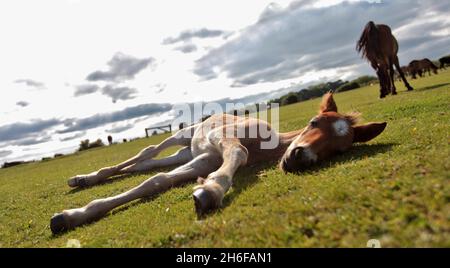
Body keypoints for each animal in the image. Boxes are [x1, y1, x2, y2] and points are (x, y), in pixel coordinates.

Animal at [49, 93, 386, 233]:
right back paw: (84, 177)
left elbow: (156, 181)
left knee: (145, 166)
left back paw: (84, 180)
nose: (299, 156)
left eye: (340, 150)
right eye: (313, 122)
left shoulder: (202, 161)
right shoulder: (221, 141)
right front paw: (211, 191)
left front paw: (71, 216)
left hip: (186, 153)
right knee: (148, 152)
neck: (268, 144)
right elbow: (237, 153)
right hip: (183, 135)